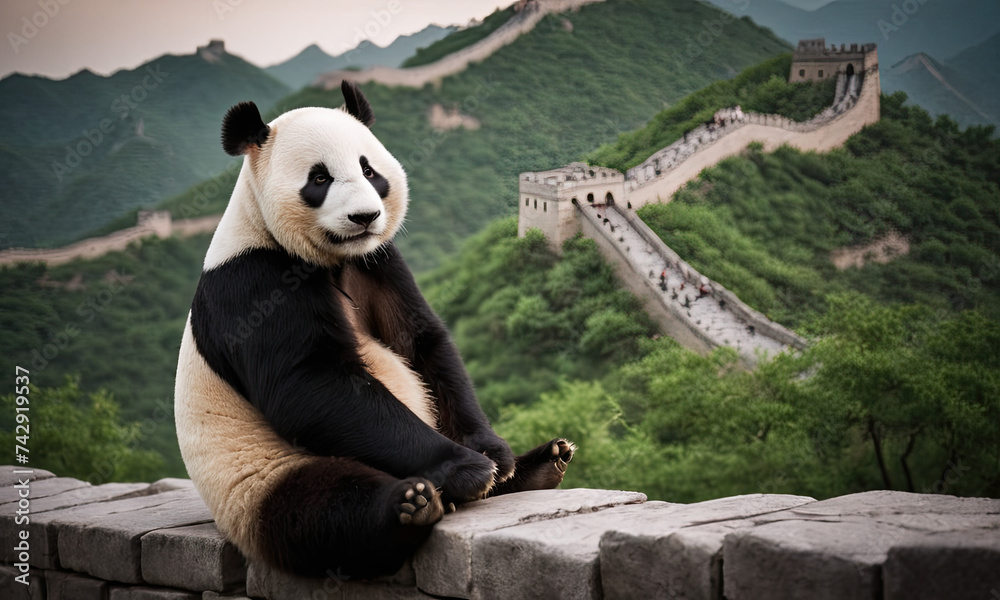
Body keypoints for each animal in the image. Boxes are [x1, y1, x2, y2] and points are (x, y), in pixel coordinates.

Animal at [174, 80, 574, 579]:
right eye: (319, 179)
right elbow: (311, 383)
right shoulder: (253, 282)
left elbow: (423, 345)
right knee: (321, 509)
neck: (329, 258)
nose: (365, 217)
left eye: (369, 170)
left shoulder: (378, 261)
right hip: (259, 477)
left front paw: (493, 454)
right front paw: (466, 467)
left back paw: (539, 465)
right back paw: (410, 505)